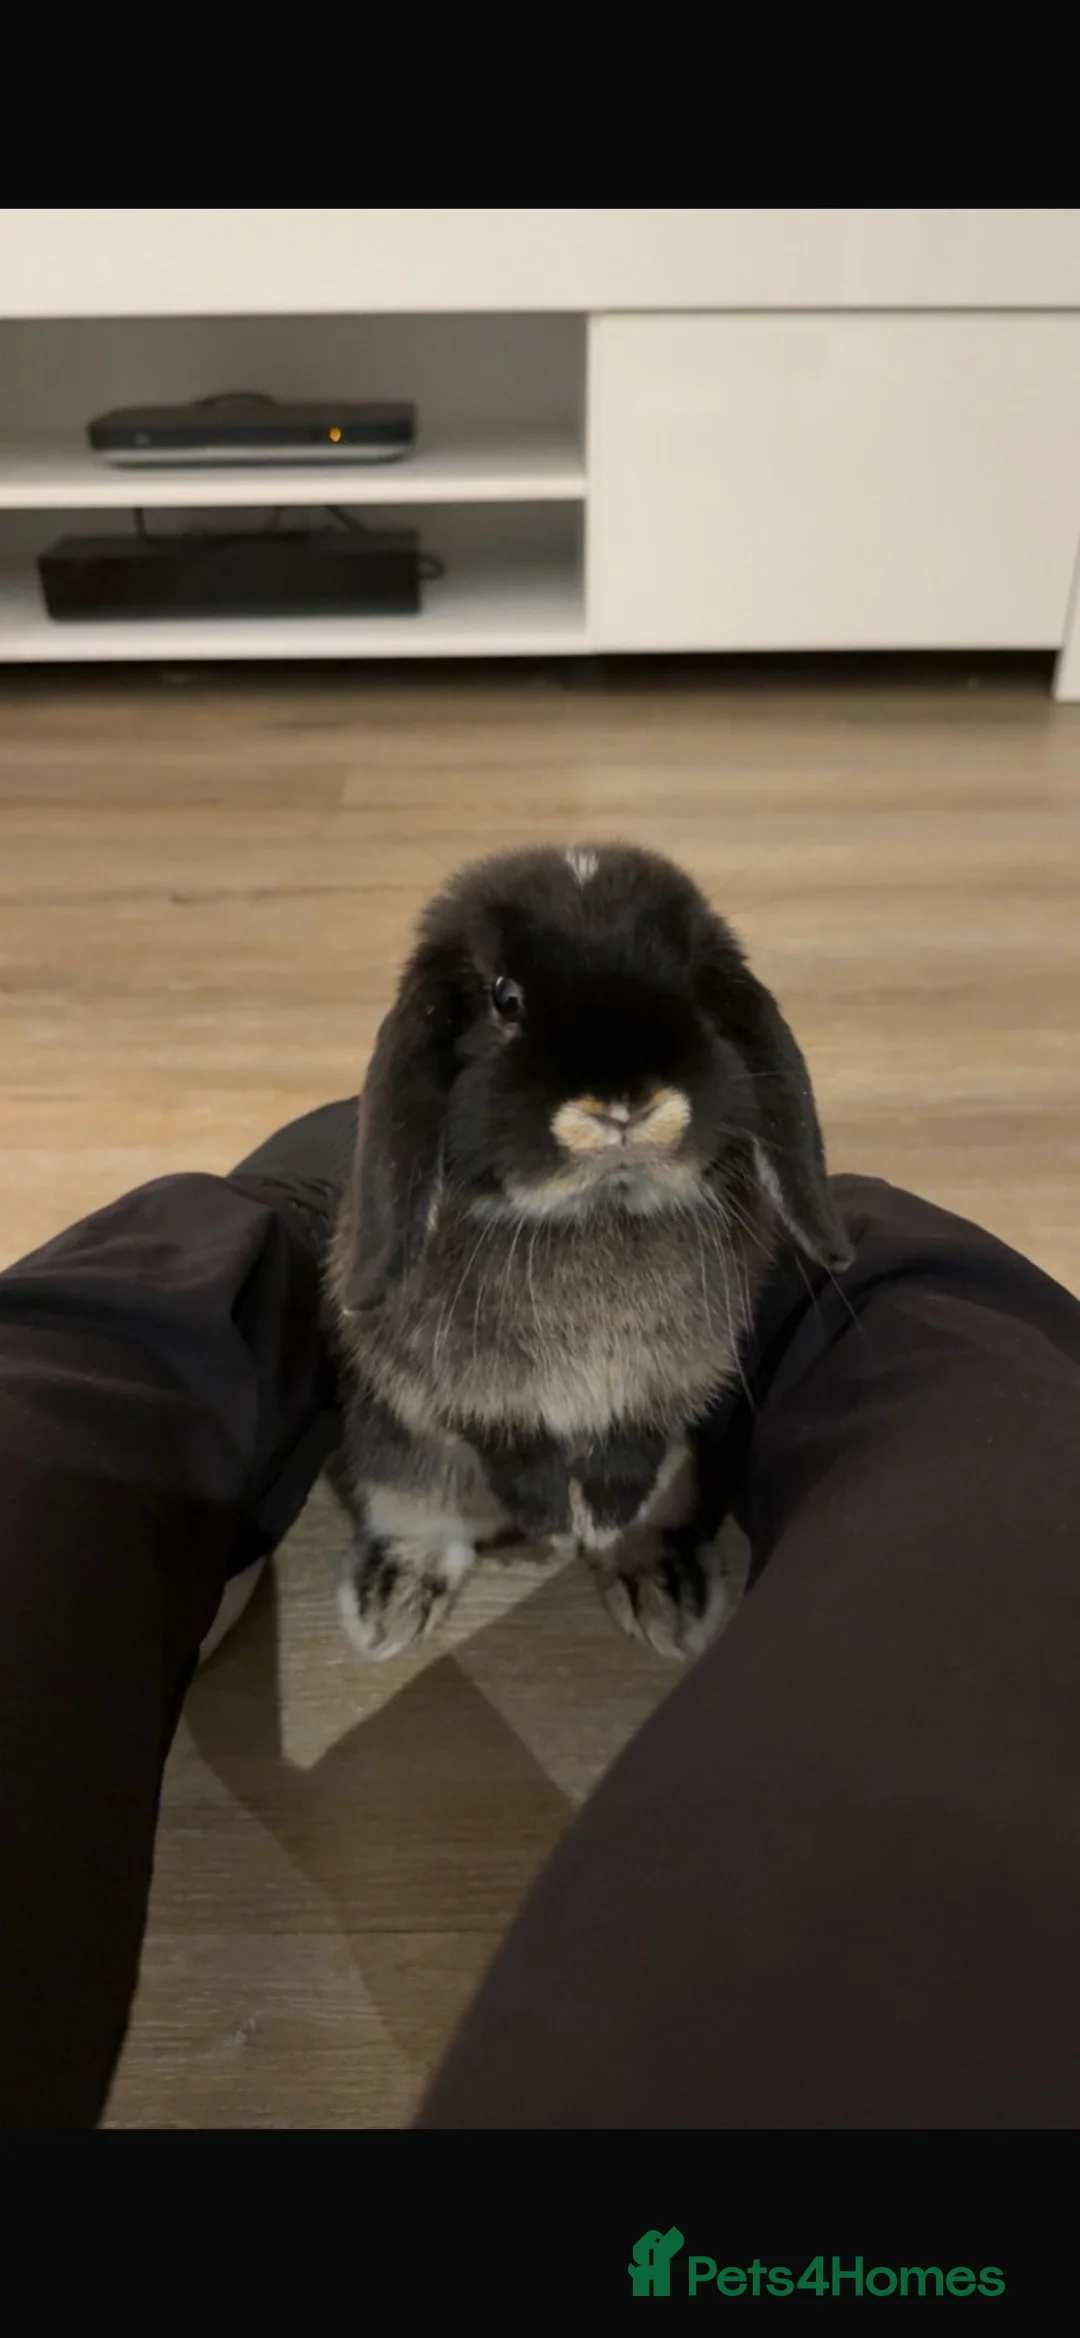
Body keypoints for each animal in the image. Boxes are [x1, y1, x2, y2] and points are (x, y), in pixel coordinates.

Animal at [327, 841, 850, 1661]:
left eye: (694, 987)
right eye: (505, 998)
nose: (624, 1104)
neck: (596, 1210)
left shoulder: (671, 1381)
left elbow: (635, 1440)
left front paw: (598, 1518)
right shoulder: (464, 1387)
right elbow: (505, 1437)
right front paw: (552, 1517)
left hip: (685, 1477)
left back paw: (664, 1592)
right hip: (397, 1455)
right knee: (421, 1519)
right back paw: (393, 1605)